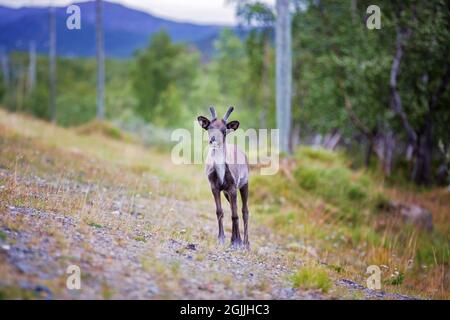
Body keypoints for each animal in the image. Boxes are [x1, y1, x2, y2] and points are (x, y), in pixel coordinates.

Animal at [198, 106, 250, 249]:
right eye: (209, 127)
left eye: (224, 130)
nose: (213, 139)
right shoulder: (214, 187)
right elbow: (219, 211)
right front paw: (221, 239)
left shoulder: (232, 186)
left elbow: (235, 215)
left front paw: (236, 242)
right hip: (227, 192)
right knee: (235, 209)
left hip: (244, 184)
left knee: (244, 211)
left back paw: (246, 243)